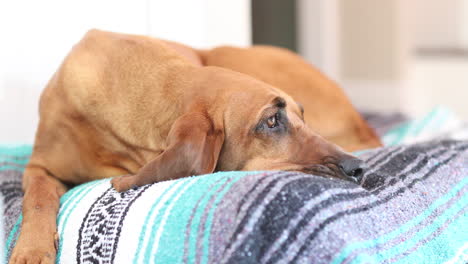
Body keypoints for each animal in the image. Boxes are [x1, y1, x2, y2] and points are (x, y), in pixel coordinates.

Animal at [10, 29, 376, 262]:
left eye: (302, 116)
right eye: (271, 121)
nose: (358, 168)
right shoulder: (39, 165)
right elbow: (38, 198)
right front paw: (31, 250)